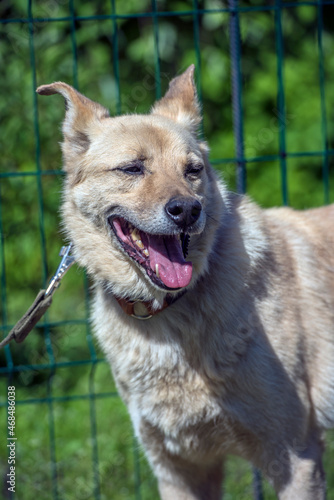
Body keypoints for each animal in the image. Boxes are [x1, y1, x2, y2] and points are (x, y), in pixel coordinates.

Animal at [37, 65, 334, 496]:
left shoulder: (296, 457)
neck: (167, 315)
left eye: (193, 171)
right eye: (132, 168)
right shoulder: (180, 468)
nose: (188, 210)